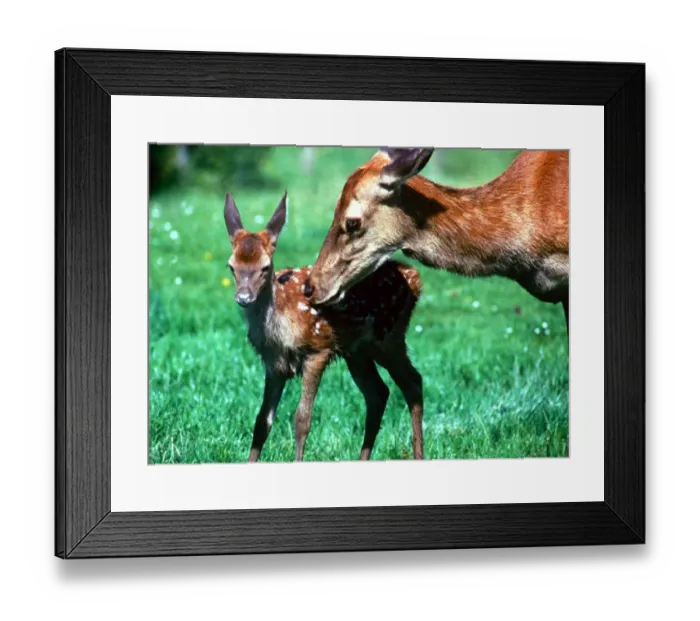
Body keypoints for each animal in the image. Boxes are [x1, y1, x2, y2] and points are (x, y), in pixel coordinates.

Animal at [223, 192, 425, 463]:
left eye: (265, 267)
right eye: (231, 266)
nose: (244, 297)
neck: (279, 330)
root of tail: (415, 277)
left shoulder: (317, 349)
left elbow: (302, 419)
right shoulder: (274, 364)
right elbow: (262, 421)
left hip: (389, 337)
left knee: (413, 382)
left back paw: (419, 455)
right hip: (357, 351)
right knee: (378, 393)